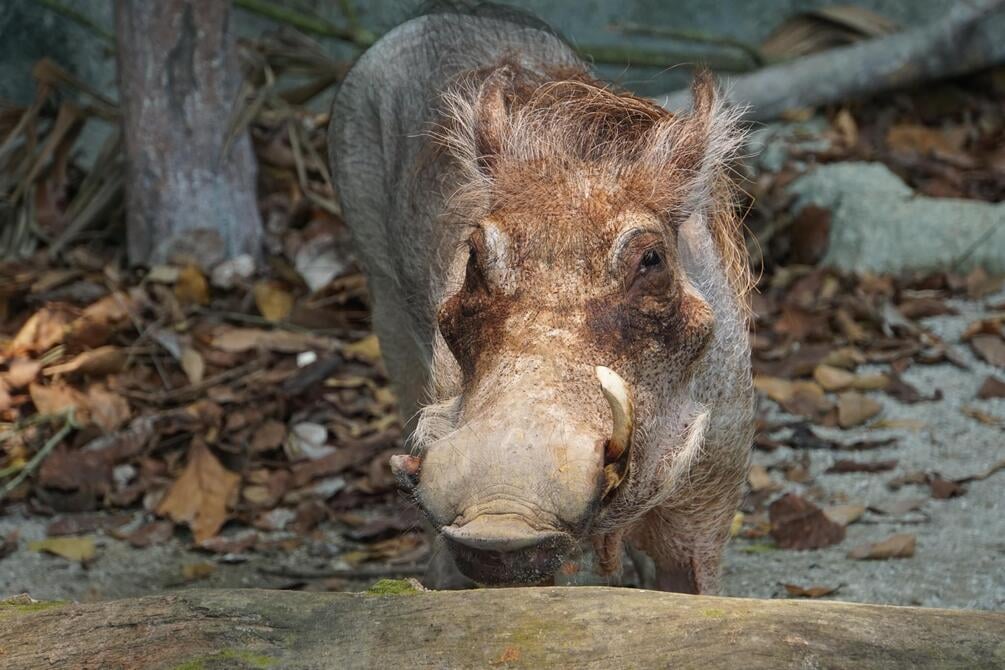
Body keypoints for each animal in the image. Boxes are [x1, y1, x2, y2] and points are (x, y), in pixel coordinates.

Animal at [329, 7, 753, 593]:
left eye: (652, 260)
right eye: (475, 255)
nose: (500, 511)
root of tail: (436, 16)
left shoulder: (705, 506)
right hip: (382, 297)